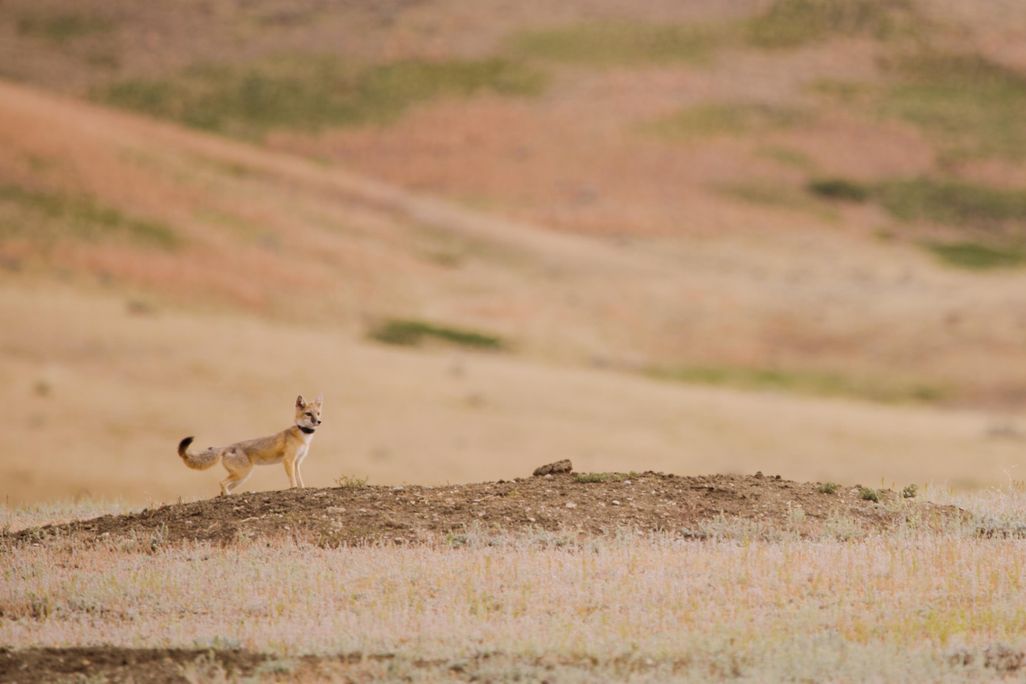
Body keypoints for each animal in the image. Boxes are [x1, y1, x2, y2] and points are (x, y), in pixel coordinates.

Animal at [177, 394, 323, 496]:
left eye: (318, 413)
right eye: (308, 414)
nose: (319, 421)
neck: (303, 436)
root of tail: (227, 446)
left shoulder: (297, 461)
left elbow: (300, 479)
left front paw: (302, 488)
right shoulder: (288, 460)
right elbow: (292, 479)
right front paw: (293, 489)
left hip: (241, 478)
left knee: (223, 487)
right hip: (242, 474)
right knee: (221, 483)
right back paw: (229, 496)